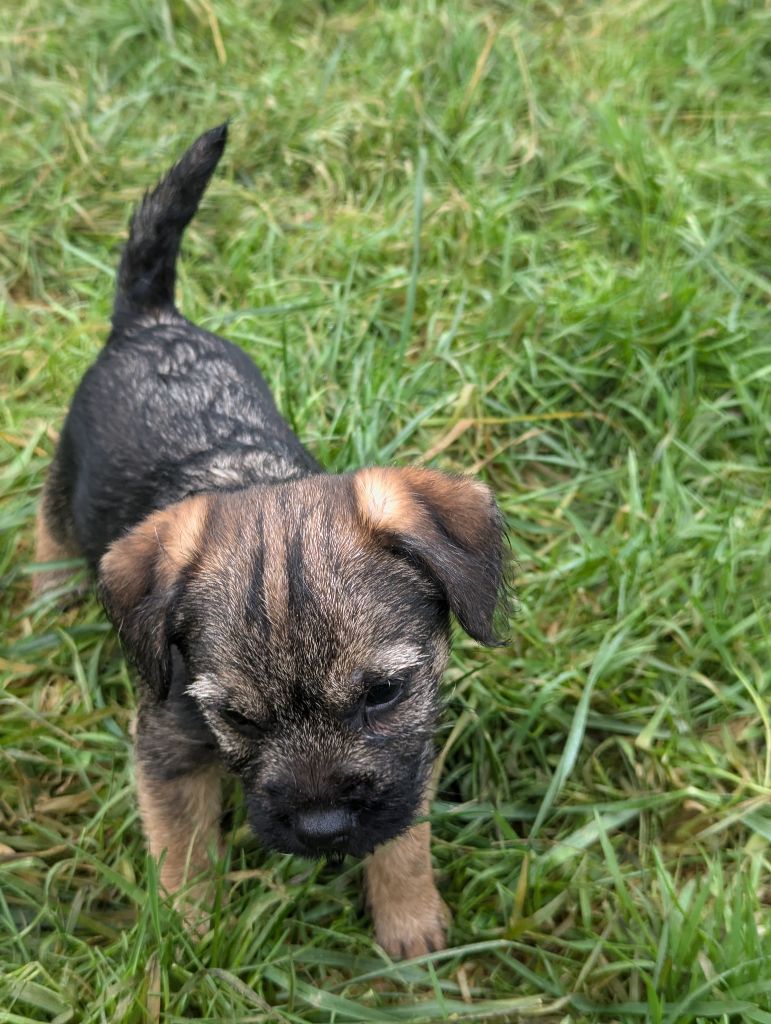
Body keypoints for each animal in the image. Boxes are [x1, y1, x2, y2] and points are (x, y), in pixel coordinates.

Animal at [34, 121, 505, 958]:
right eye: (239, 719)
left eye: (382, 694)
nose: (322, 827)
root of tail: (151, 320)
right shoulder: (165, 751)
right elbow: (183, 847)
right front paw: (189, 934)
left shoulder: (410, 753)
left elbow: (404, 833)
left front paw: (409, 920)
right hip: (64, 480)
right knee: (45, 526)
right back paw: (48, 594)